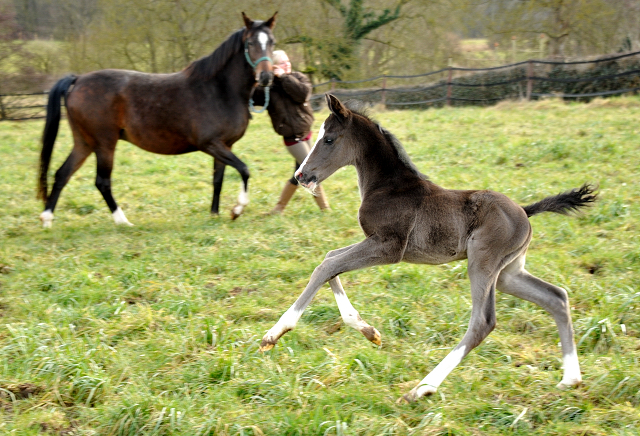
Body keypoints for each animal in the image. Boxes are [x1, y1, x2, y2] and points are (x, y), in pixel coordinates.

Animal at [37, 12, 276, 228]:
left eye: (272, 42)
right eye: (251, 42)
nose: (266, 77)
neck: (219, 89)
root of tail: (78, 80)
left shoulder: (225, 145)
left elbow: (218, 179)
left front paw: (215, 214)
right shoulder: (210, 144)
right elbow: (244, 169)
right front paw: (238, 209)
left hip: (84, 143)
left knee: (62, 174)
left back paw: (47, 220)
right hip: (104, 144)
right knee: (102, 182)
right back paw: (122, 221)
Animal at [258, 94, 596, 402]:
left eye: (329, 139)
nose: (302, 175)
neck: (388, 186)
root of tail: (525, 212)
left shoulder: (389, 247)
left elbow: (326, 266)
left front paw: (274, 333)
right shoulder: (376, 242)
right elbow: (331, 260)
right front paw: (369, 332)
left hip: (483, 263)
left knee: (483, 321)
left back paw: (422, 388)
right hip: (509, 273)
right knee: (556, 297)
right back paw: (570, 379)